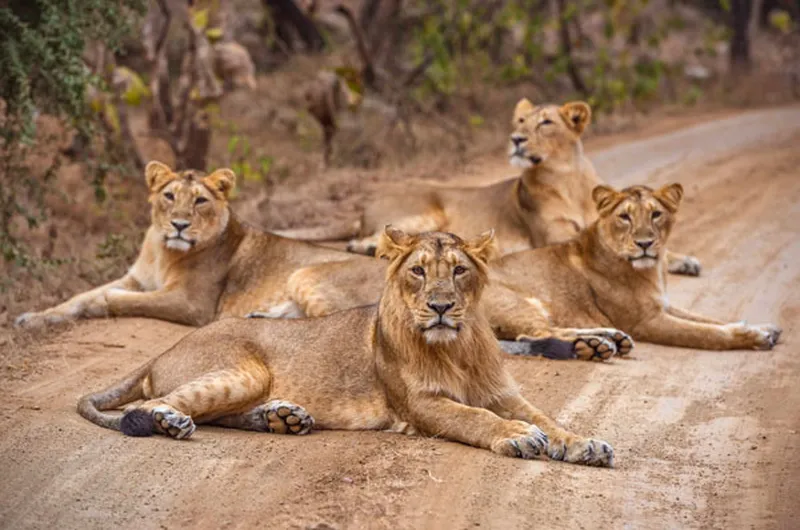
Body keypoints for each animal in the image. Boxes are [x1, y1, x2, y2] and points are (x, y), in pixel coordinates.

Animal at [78, 229, 612, 464]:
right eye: (418, 271)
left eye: (459, 270)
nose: (440, 306)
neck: (457, 346)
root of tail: (160, 353)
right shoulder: (421, 405)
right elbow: (476, 418)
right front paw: (518, 436)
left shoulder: (506, 395)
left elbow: (549, 419)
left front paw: (583, 443)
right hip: (242, 370)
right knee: (151, 405)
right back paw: (173, 422)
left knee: (214, 414)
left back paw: (282, 418)